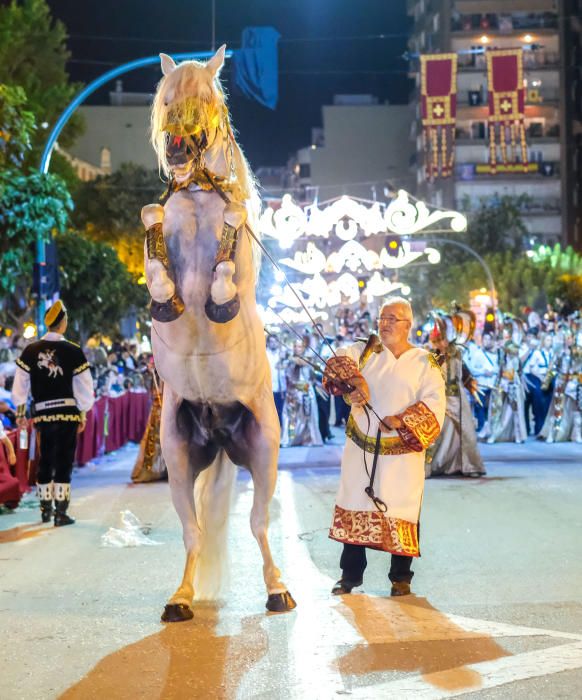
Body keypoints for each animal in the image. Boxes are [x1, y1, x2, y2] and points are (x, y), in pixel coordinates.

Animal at [141, 46, 296, 620]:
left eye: (206, 100)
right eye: (167, 100)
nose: (177, 148)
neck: (197, 198)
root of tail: (221, 434)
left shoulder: (237, 251)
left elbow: (228, 259)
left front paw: (221, 296)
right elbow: (152, 235)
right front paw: (164, 298)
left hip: (265, 450)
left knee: (258, 523)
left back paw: (278, 589)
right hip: (180, 458)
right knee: (193, 531)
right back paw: (180, 598)